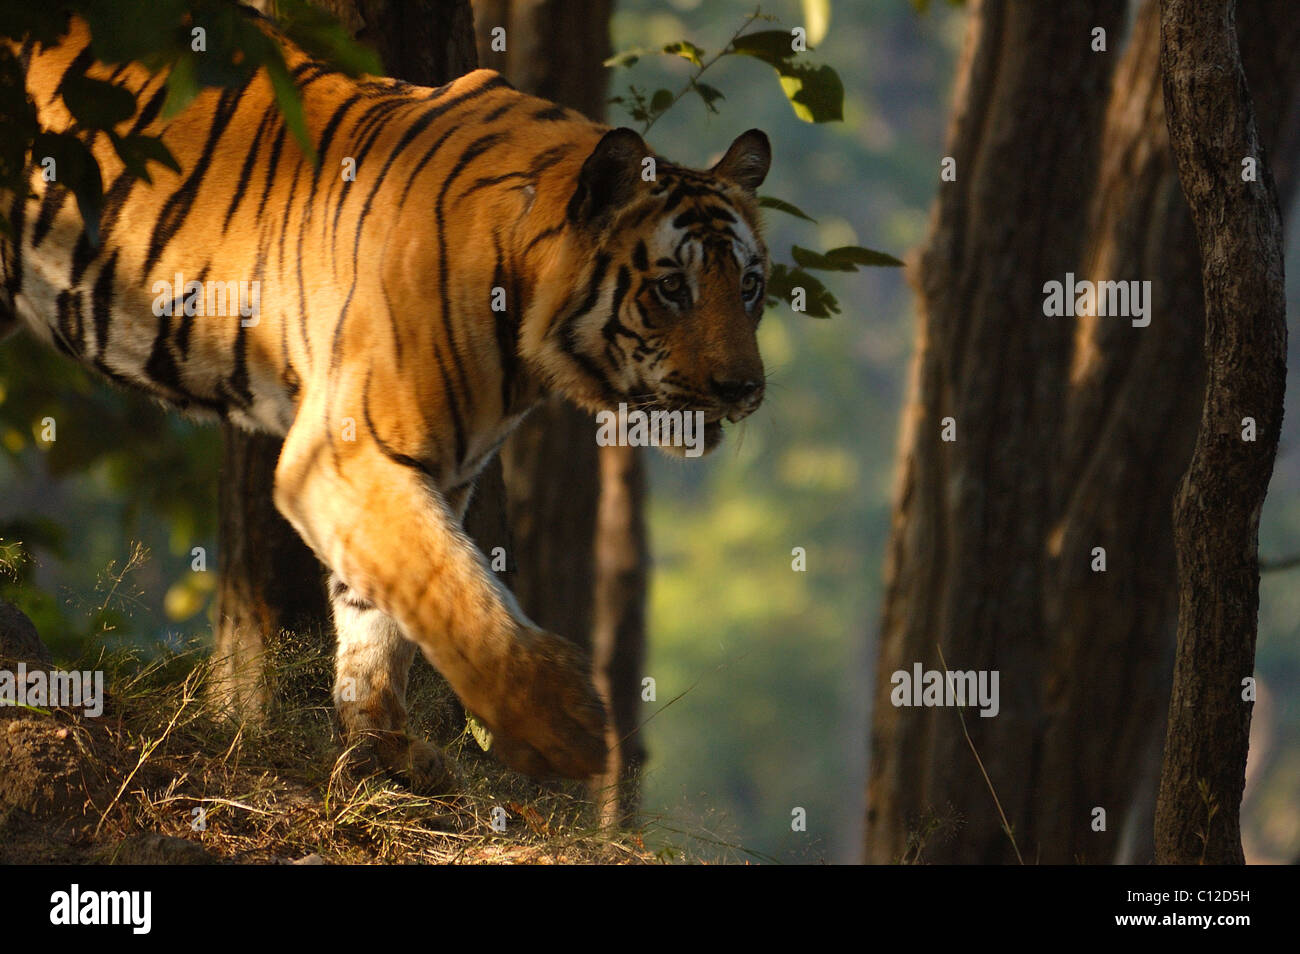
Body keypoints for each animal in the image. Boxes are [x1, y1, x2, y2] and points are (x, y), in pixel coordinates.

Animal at [0, 11, 764, 790]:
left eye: (751, 286)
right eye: (672, 288)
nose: (746, 389)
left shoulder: (436, 468)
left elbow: (385, 605)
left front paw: (381, 747)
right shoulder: (346, 450)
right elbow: (452, 583)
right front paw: (560, 727)